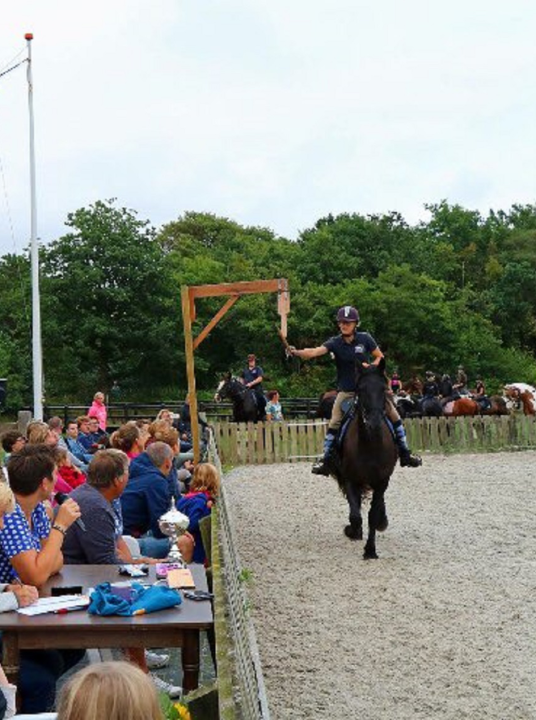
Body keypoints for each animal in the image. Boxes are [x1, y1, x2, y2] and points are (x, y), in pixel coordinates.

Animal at [336, 362, 398, 560]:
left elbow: (373, 514)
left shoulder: (382, 481)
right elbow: (355, 515)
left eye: (383, 388)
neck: (370, 444)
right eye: (361, 389)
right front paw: (353, 531)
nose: (374, 422)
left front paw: (370, 550)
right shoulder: (350, 479)